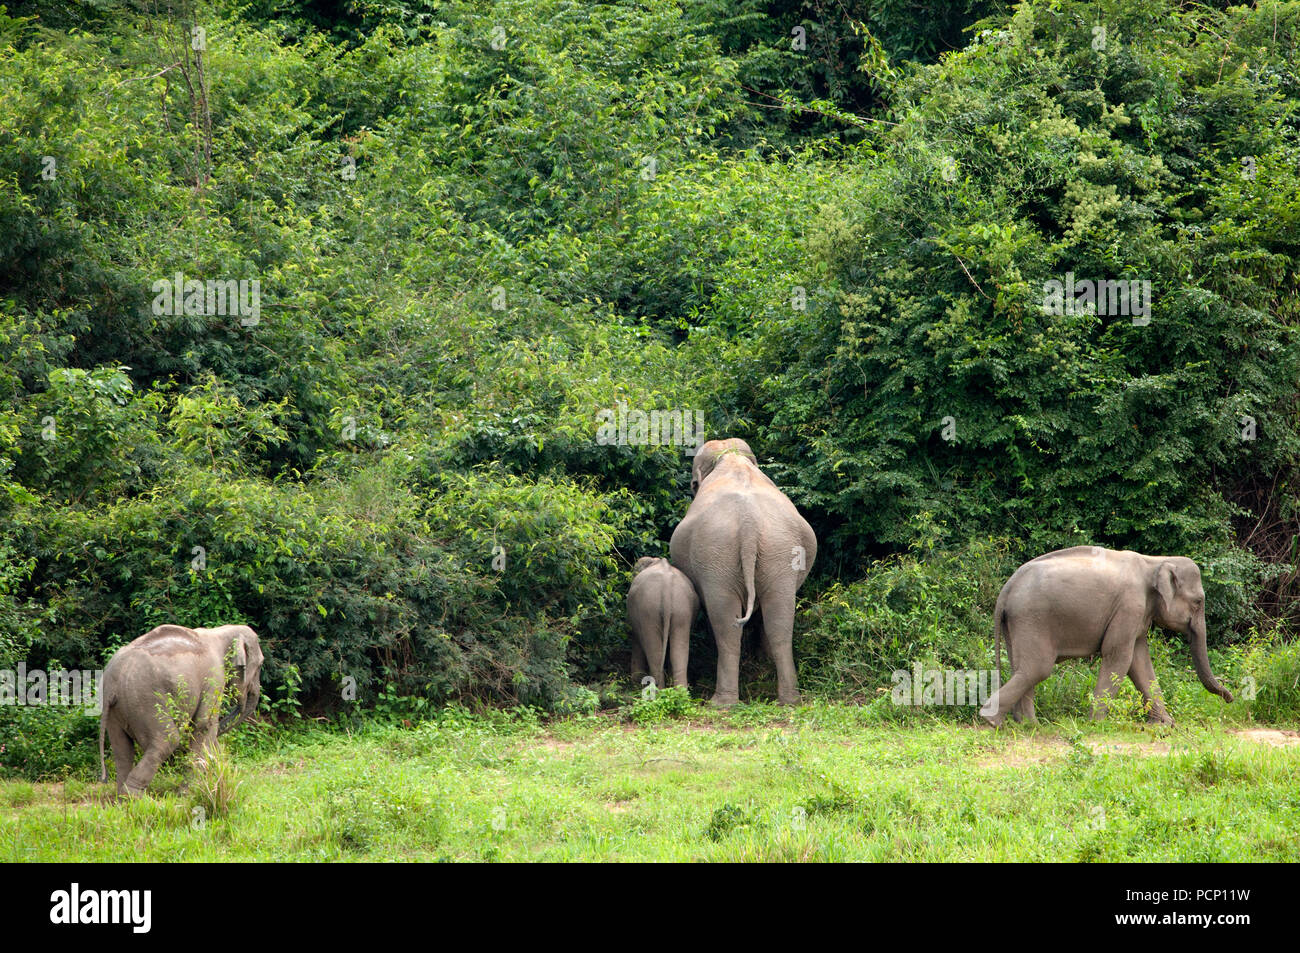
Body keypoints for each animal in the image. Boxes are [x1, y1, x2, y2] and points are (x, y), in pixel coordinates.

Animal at [101, 624, 266, 795]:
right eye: (260, 664)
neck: (222, 631)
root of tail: (111, 683)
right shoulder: (215, 677)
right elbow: (204, 724)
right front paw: (189, 792)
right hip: (144, 700)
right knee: (167, 740)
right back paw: (134, 797)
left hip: (118, 709)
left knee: (122, 750)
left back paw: (122, 797)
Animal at [629, 551, 702, 691]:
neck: (655, 561)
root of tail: (666, 586)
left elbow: (635, 639)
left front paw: (634, 684)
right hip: (681, 609)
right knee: (678, 651)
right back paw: (680, 693)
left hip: (648, 609)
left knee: (654, 651)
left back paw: (658, 690)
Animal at [670, 439, 811, 707]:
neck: (730, 456)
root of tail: (749, 523)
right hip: (778, 552)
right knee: (779, 621)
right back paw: (790, 700)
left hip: (717, 555)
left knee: (726, 625)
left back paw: (721, 703)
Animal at [977, 546, 1232, 722]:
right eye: (1198, 602)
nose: (1230, 698)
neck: (1155, 561)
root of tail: (1007, 588)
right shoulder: (1129, 606)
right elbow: (1120, 657)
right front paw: (1095, 723)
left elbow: (1140, 662)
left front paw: (1168, 724)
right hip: (1032, 618)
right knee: (1036, 668)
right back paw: (991, 721)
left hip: (1017, 623)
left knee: (1021, 667)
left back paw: (1028, 724)